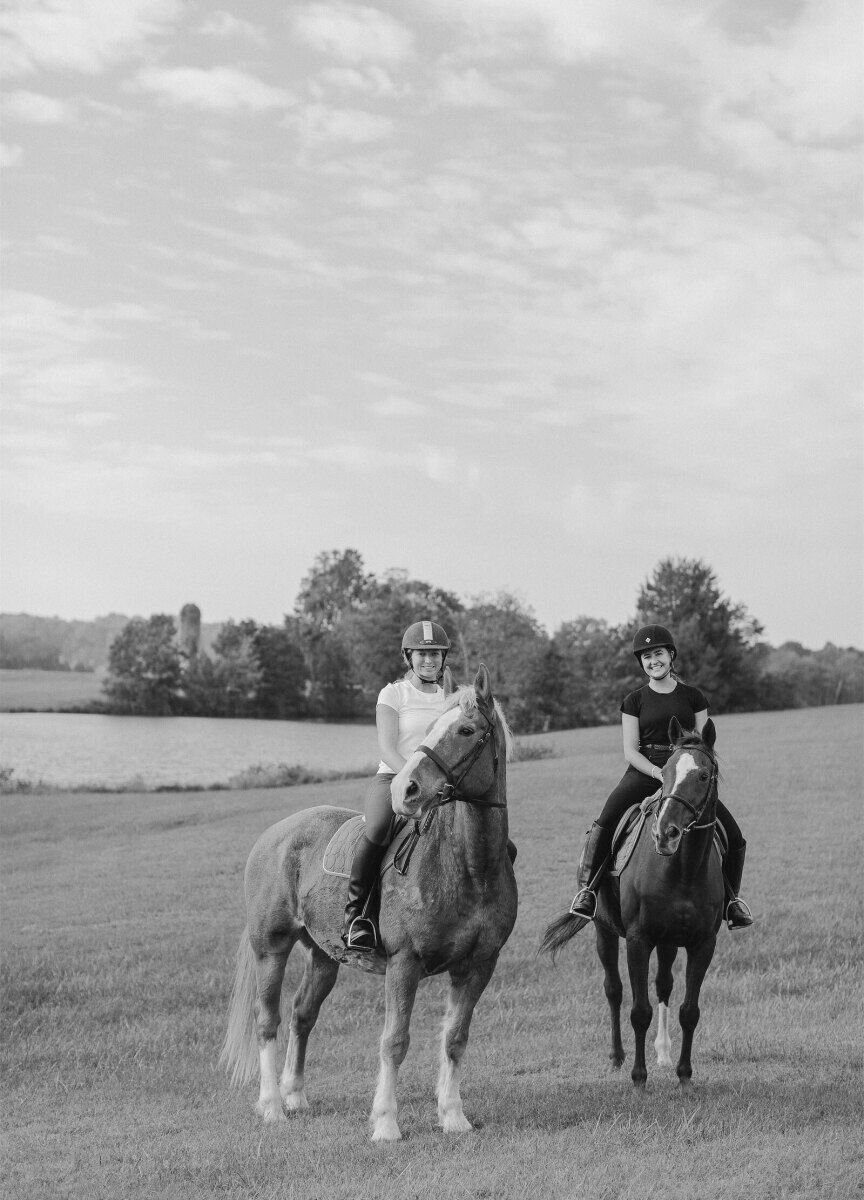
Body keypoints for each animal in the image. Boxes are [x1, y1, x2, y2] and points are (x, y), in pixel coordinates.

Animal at [219, 667, 516, 1142]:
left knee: (302, 1015)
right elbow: (394, 1042)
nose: (405, 790)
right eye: (430, 730)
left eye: (466, 731)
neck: (469, 868)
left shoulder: (479, 965)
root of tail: (275, 833)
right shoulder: (404, 963)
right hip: (272, 947)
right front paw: (386, 1124)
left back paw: (293, 1096)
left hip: (323, 955)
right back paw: (271, 1107)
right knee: (267, 1021)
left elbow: (455, 1038)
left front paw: (454, 1117)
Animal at [542, 715, 724, 1094]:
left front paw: (684, 1074)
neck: (681, 868)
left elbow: (690, 1010)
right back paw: (617, 1057)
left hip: (668, 941)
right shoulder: (638, 940)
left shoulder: (703, 943)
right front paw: (639, 1078)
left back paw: (664, 1053)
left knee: (664, 985)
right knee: (613, 990)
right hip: (604, 931)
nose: (665, 833)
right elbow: (639, 1010)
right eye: (664, 772)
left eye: (703, 775)